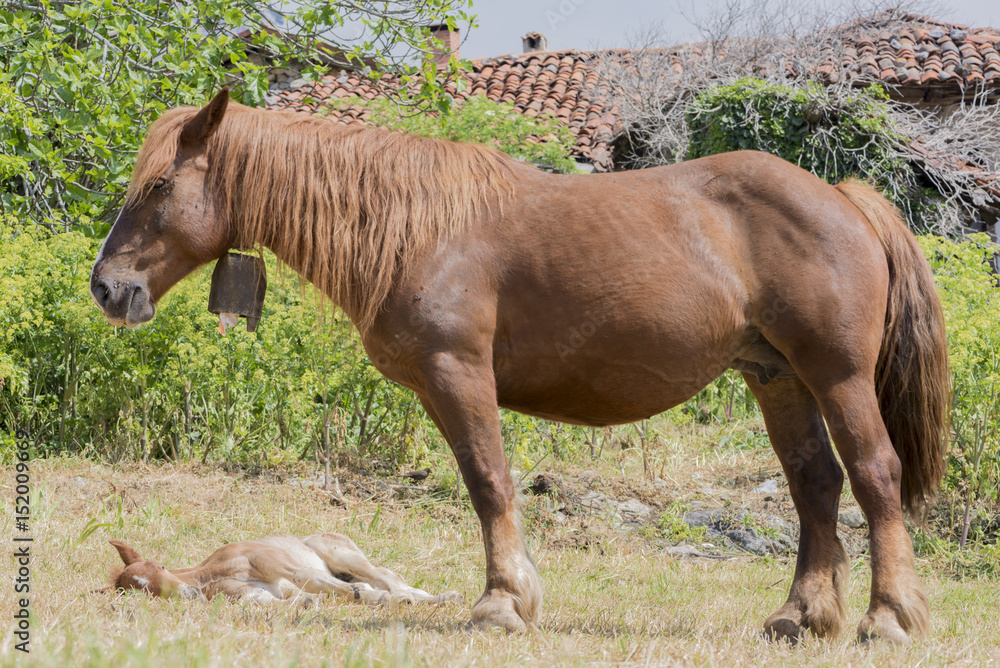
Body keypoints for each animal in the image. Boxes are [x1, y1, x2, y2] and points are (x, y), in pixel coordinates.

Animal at [90, 89, 949, 643]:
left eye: (160, 184)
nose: (108, 286)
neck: (418, 229)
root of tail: (841, 196)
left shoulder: (458, 374)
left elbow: (487, 482)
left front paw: (503, 603)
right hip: (778, 378)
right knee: (815, 486)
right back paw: (801, 617)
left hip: (836, 376)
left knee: (873, 475)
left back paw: (887, 618)